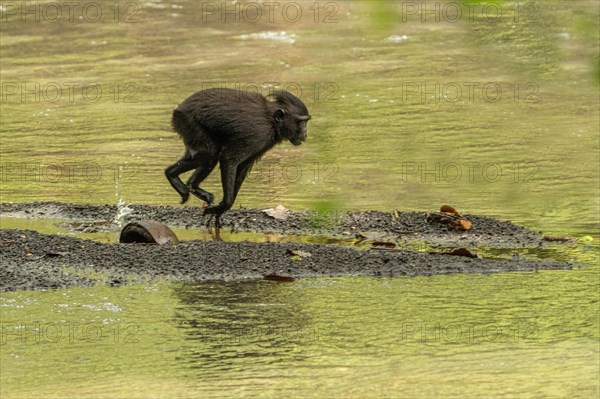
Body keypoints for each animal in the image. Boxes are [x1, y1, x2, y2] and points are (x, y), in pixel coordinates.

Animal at [166, 88, 312, 227]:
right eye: (302, 122)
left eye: (306, 122)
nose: (305, 134)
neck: (271, 120)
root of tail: (179, 108)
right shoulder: (259, 134)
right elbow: (229, 159)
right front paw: (225, 204)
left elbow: (242, 167)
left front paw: (220, 210)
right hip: (187, 121)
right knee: (209, 154)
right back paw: (171, 175)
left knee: (210, 156)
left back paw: (192, 185)